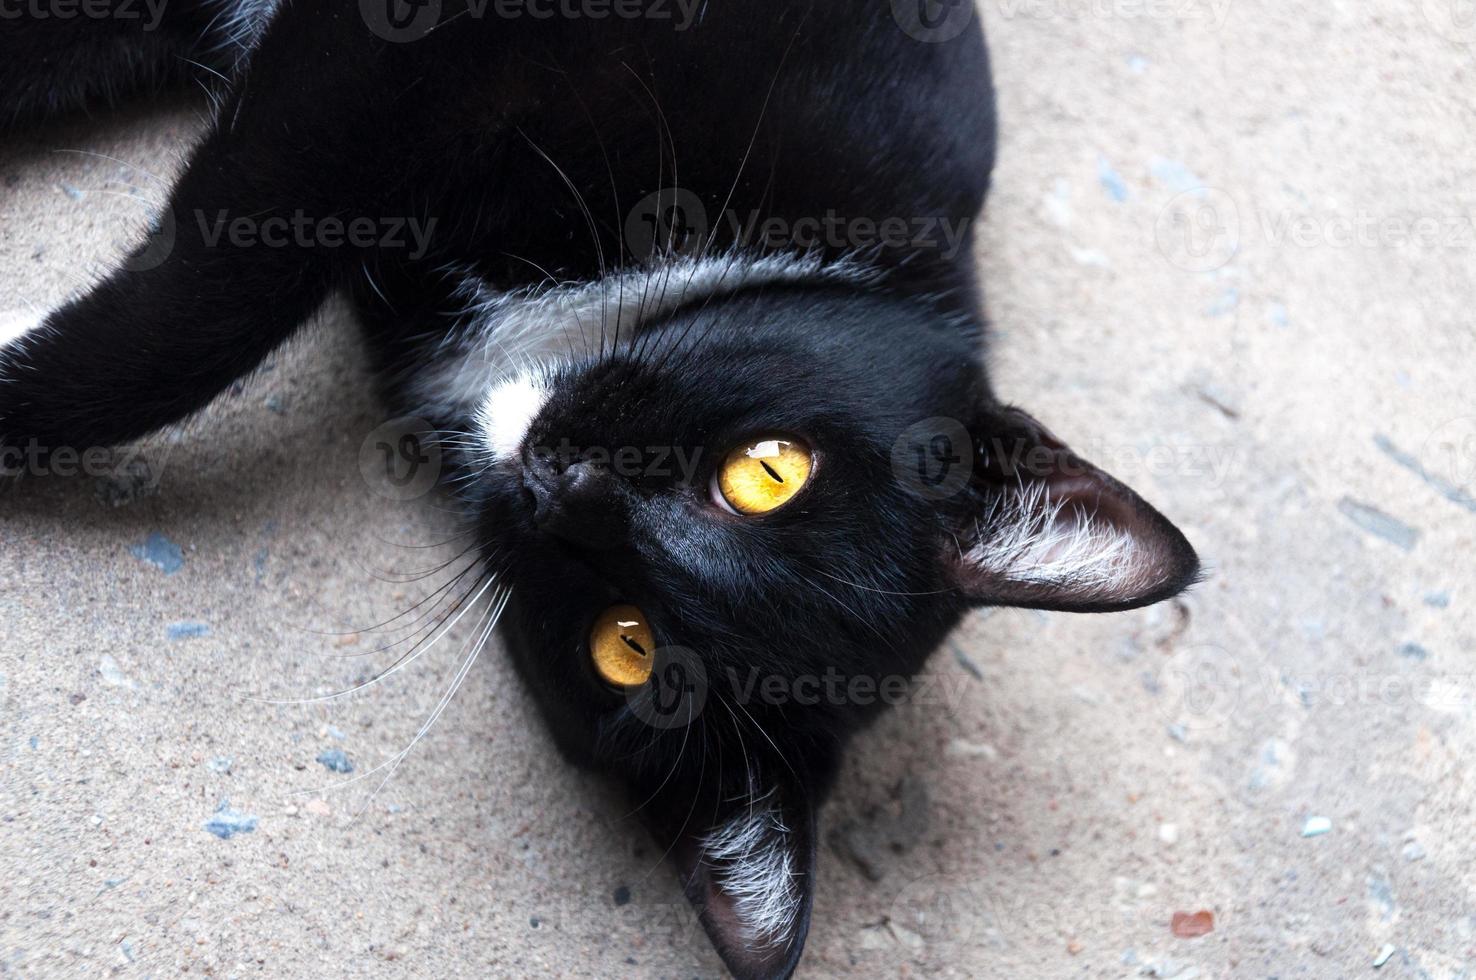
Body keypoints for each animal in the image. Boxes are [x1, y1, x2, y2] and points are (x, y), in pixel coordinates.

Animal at [0, 3, 1198, 974]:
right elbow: (217, 289)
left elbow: (216, 289)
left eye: (625, 643)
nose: (566, 487)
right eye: (769, 470)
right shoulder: (415, 68)